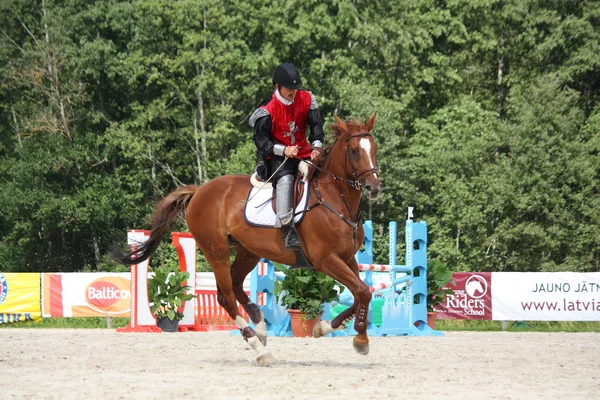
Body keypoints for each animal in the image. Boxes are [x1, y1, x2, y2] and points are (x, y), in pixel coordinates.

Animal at [115, 113, 382, 366]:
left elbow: (362, 293)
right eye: (354, 151)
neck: (334, 198)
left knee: (235, 284)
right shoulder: (325, 259)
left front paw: (324, 327)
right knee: (226, 296)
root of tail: (199, 191)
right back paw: (259, 348)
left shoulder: (347, 259)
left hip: (248, 251)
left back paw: (259, 325)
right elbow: (362, 292)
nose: (374, 187)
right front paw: (360, 341)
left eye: (374, 148)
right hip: (217, 250)